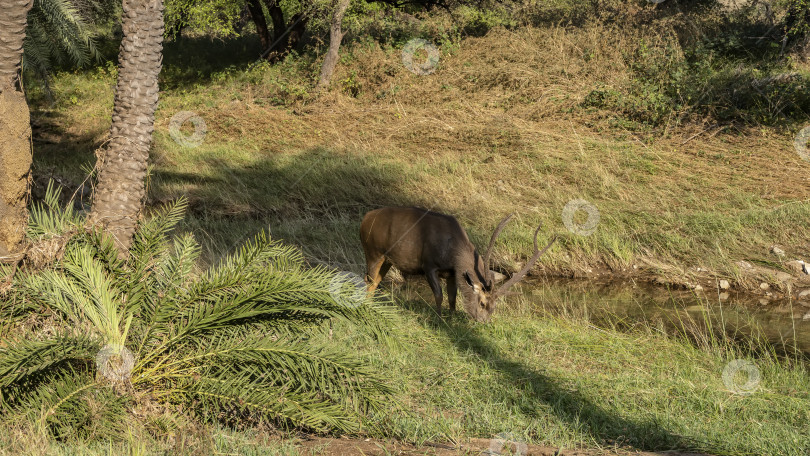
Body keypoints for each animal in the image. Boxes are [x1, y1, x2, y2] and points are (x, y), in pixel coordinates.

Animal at [360, 208, 556, 322]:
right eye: (482, 303)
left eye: (494, 306)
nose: (484, 321)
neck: (453, 253)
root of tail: (365, 218)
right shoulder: (429, 265)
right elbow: (439, 295)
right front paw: (439, 320)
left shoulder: (451, 273)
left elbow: (452, 298)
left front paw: (452, 320)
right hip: (373, 251)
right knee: (368, 279)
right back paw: (365, 305)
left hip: (387, 259)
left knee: (374, 281)